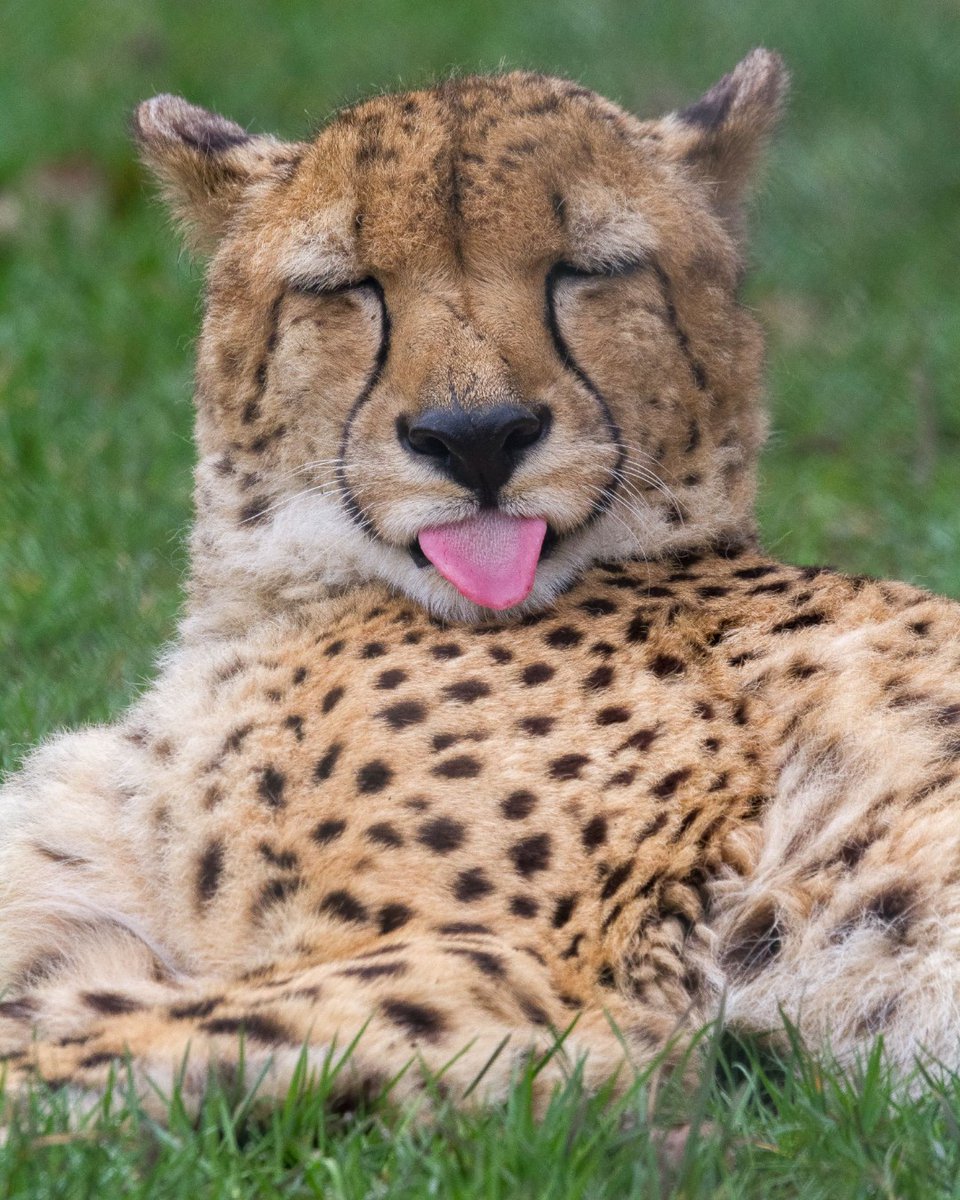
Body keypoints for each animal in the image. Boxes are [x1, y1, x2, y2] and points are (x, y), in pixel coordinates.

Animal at [3, 48, 960, 1122]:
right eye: (346, 286)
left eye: (587, 270)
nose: (477, 437)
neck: (278, 598)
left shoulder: (528, 974)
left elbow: (76, 1031)